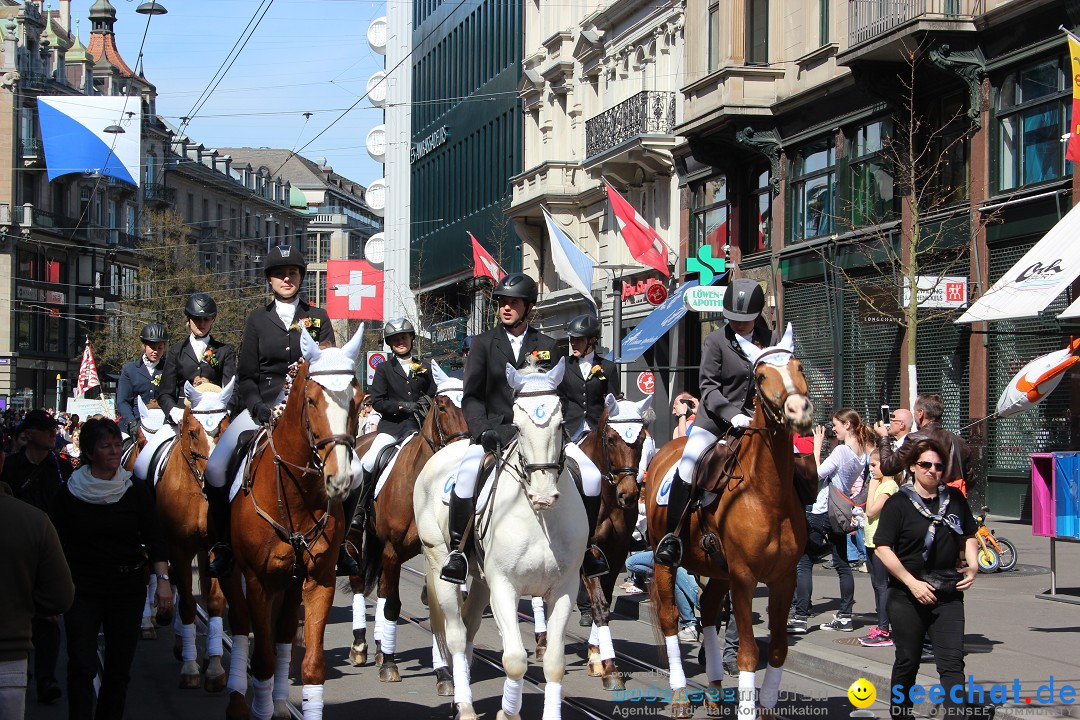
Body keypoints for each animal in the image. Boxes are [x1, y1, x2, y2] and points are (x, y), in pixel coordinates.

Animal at [153, 379, 233, 690]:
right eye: (191, 431)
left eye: (226, 426)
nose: (214, 477)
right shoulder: (178, 547)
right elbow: (187, 603)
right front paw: (190, 668)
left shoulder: (216, 549)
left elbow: (214, 603)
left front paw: (215, 668)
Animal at [223, 328, 367, 720]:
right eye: (313, 400)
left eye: (357, 399)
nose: (340, 478)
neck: (295, 493)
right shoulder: (257, 582)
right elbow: (262, 662)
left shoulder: (318, 580)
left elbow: (311, 665)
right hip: (234, 576)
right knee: (240, 628)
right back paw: (238, 700)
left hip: (289, 585)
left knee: (286, 634)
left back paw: (278, 703)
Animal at [347, 386, 470, 690]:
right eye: (442, 406)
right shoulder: (392, 550)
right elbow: (392, 605)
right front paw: (390, 666)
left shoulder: (435, 552)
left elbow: (436, 608)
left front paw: (443, 674)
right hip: (356, 536)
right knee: (359, 582)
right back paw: (360, 647)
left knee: (380, 588)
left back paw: (381, 647)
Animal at [412, 360, 587, 720]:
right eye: (517, 426)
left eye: (561, 423)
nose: (543, 495)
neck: (541, 520)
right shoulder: (505, 587)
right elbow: (515, 660)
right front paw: (508, 712)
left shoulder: (564, 589)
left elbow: (554, 663)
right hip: (440, 564)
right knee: (455, 634)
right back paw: (464, 705)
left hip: (481, 581)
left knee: (468, 629)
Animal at [639, 323, 812, 716]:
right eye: (761, 377)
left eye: (799, 368)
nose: (799, 410)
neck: (767, 494)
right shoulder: (745, 578)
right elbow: (748, 652)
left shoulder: (783, 578)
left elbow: (777, 649)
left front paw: (766, 710)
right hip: (665, 559)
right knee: (670, 618)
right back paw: (681, 695)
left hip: (717, 570)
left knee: (706, 610)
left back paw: (716, 692)